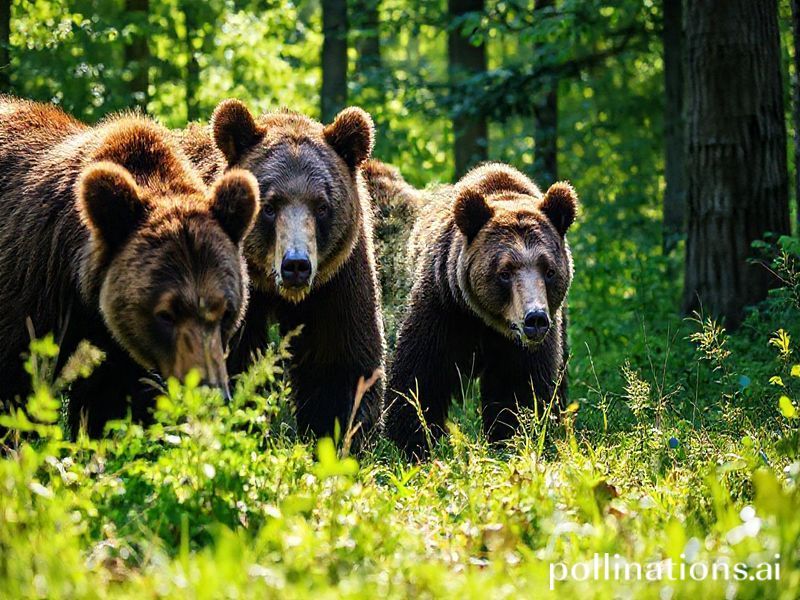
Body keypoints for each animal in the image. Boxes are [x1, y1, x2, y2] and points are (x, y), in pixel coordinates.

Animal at [177, 100, 385, 449]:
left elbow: (340, 364)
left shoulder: (336, 282)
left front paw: (339, 437)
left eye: (322, 206)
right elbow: (235, 361)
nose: (296, 265)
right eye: (270, 206)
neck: (273, 290)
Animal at [382, 162, 578, 459]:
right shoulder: (443, 309)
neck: (486, 322)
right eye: (505, 272)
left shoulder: (526, 345)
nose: (535, 319)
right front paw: (413, 442)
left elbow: (518, 389)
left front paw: (510, 439)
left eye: (549, 270)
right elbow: (419, 380)